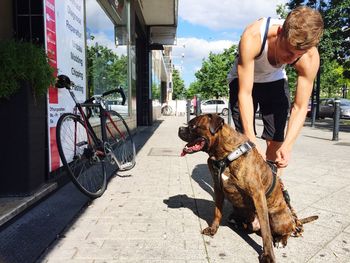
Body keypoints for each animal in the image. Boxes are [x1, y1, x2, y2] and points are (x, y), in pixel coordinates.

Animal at [178, 114, 318, 263]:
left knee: (289, 230)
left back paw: (281, 240)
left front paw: (268, 255)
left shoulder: (258, 195)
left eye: (193, 126)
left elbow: (266, 232)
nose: (180, 128)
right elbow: (217, 212)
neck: (225, 156)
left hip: (277, 218)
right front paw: (213, 229)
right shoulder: (218, 189)